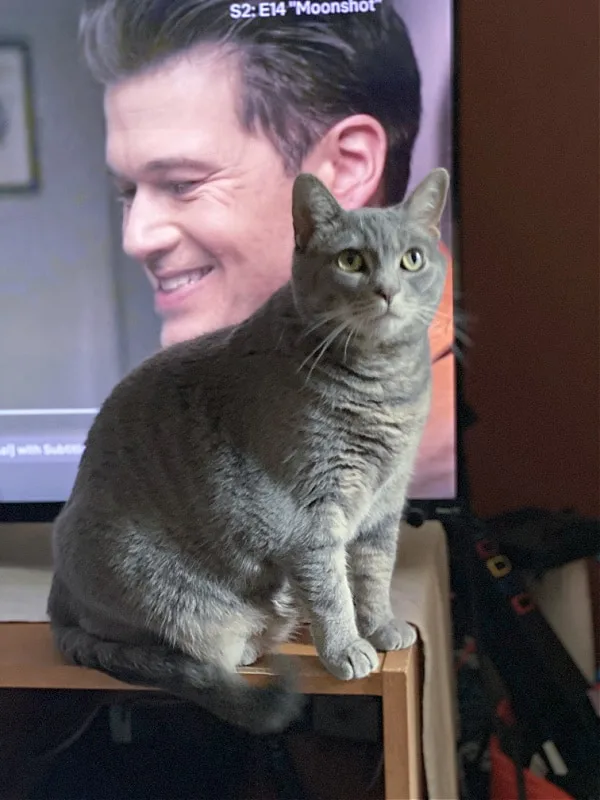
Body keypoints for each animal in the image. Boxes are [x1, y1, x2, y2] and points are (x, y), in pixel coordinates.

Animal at [48, 166, 450, 736]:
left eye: (412, 259)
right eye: (351, 260)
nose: (388, 290)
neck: (383, 389)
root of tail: (54, 603)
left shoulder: (384, 504)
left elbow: (374, 575)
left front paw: (382, 628)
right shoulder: (309, 513)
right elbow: (332, 589)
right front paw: (347, 648)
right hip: (141, 581)